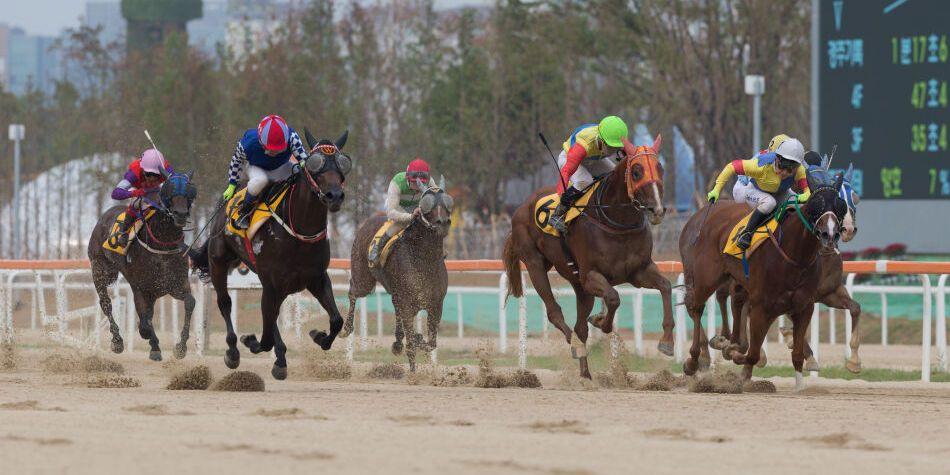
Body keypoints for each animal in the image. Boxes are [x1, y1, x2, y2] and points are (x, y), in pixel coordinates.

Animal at [90, 173, 200, 362]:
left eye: (189, 190)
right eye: (169, 190)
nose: (180, 214)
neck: (162, 245)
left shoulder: (175, 285)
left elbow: (189, 302)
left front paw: (181, 347)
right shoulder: (140, 288)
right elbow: (144, 324)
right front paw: (151, 342)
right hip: (99, 269)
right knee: (106, 304)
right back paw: (117, 341)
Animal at [190, 129, 350, 380]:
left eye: (342, 163)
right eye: (315, 164)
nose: (334, 195)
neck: (299, 231)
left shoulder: (316, 278)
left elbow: (336, 320)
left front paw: (318, 335)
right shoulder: (273, 283)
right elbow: (264, 339)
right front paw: (250, 341)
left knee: (272, 316)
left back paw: (281, 358)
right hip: (218, 261)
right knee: (225, 302)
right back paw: (234, 351)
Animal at [344, 182, 456, 372]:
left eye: (447, 203)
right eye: (427, 205)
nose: (443, 223)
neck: (424, 259)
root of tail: (369, 221)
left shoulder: (435, 305)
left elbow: (431, 343)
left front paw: (416, 339)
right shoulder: (407, 304)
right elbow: (412, 344)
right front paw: (413, 372)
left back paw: (397, 343)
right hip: (364, 280)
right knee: (352, 291)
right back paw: (346, 327)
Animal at [506, 135, 668, 380]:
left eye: (660, 168)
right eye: (636, 172)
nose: (656, 209)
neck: (616, 220)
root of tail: (522, 206)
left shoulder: (638, 271)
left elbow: (665, 286)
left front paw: (667, 342)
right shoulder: (592, 275)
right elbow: (613, 297)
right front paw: (601, 321)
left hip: (578, 283)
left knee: (580, 327)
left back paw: (585, 374)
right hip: (535, 264)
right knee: (555, 313)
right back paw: (575, 346)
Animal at [680, 175, 852, 390]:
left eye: (840, 205)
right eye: (815, 205)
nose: (830, 234)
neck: (795, 255)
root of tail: (700, 215)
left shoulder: (804, 306)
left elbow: (796, 354)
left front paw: (800, 385)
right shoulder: (762, 306)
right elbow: (752, 354)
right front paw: (734, 354)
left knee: (732, 302)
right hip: (706, 277)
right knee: (696, 307)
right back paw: (694, 360)